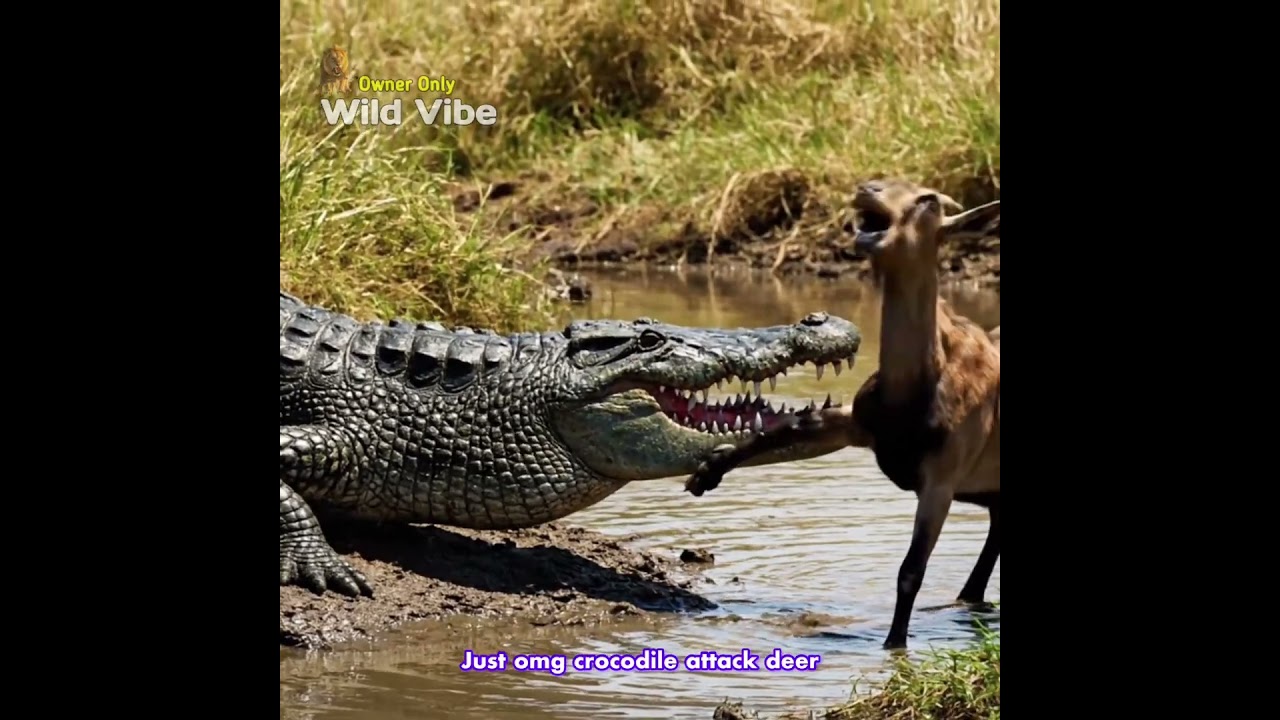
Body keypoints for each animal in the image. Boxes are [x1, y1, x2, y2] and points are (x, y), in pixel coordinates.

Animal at [684, 178, 1001, 650]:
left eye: (928, 200)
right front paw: (707, 472)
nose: (868, 188)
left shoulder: (942, 477)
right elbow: (797, 424)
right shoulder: (860, 422)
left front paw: (893, 645)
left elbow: (910, 571)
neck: (917, 384)